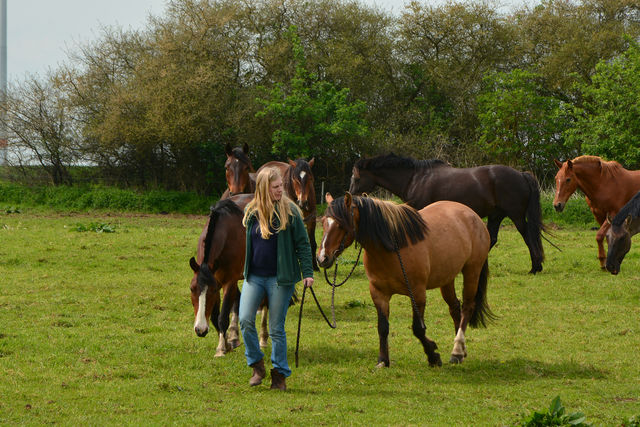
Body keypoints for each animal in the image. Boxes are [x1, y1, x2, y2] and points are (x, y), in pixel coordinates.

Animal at [189, 194, 254, 358]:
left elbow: (222, 316)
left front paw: (221, 348)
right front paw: (226, 344)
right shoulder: (217, 281)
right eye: (192, 289)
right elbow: (214, 316)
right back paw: (234, 336)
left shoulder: (227, 283)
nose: (200, 329)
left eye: (211, 290)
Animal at [318, 194, 492, 368]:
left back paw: (457, 350)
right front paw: (383, 360)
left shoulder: (417, 293)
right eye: (324, 222)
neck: (392, 248)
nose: (322, 258)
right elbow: (383, 327)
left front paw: (433, 356)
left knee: (467, 307)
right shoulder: (379, 294)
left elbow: (418, 329)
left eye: (340, 225)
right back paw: (461, 350)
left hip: (472, 271)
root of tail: (472, 215)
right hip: (447, 278)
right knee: (455, 307)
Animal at [350, 154, 544, 274]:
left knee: (528, 236)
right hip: (496, 215)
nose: (350, 196)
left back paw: (535, 267)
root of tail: (521, 174)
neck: (414, 179)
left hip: (516, 216)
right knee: (492, 238)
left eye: (357, 178)